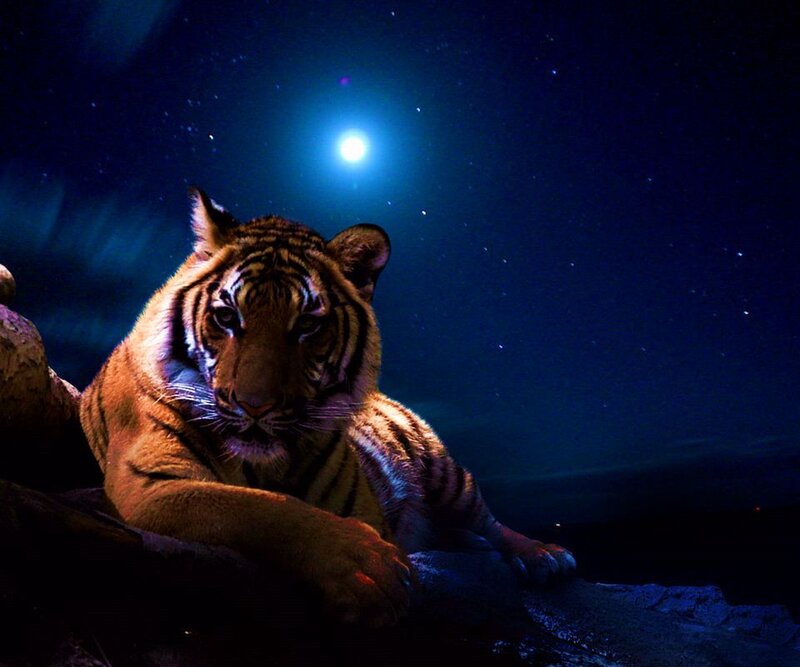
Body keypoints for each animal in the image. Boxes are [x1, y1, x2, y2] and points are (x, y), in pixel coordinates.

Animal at [79, 189, 575, 627]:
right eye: (226, 317)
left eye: (307, 325)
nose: (254, 406)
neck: (264, 464)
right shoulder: (147, 481)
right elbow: (253, 506)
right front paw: (365, 565)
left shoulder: (368, 507)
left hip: (445, 475)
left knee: (487, 521)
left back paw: (545, 556)